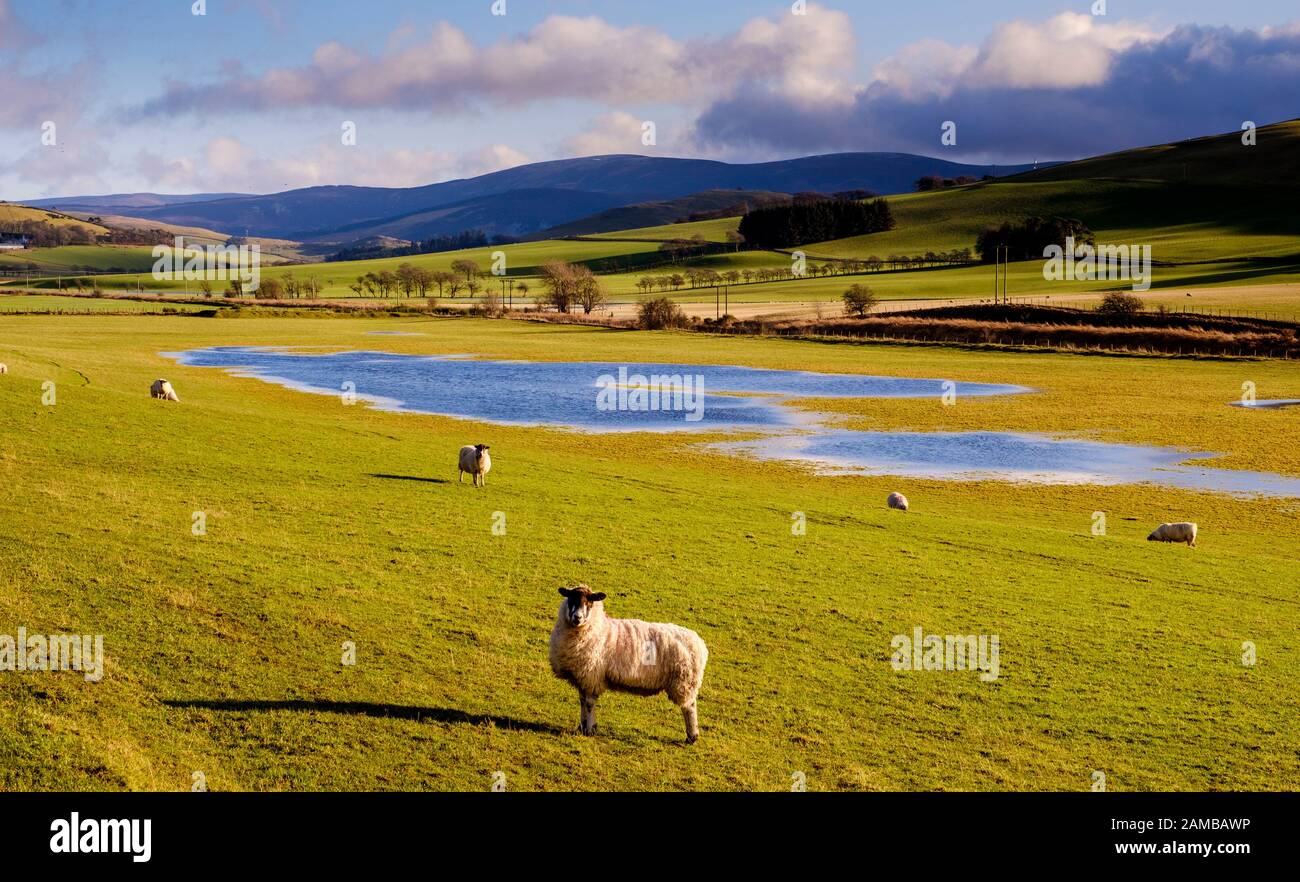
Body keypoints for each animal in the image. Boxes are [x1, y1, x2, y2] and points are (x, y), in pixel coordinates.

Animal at [548, 588, 712, 744]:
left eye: (589, 602)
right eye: (571, 598)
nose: (577, 617)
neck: (598, 628)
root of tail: (699, 642)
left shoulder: (592, 676)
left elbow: (589, 704)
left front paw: (590, 729)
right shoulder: (582, 678)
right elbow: (582, 701)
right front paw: (582, 726)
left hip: (685, 681)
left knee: (689, 707)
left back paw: (692, 737)